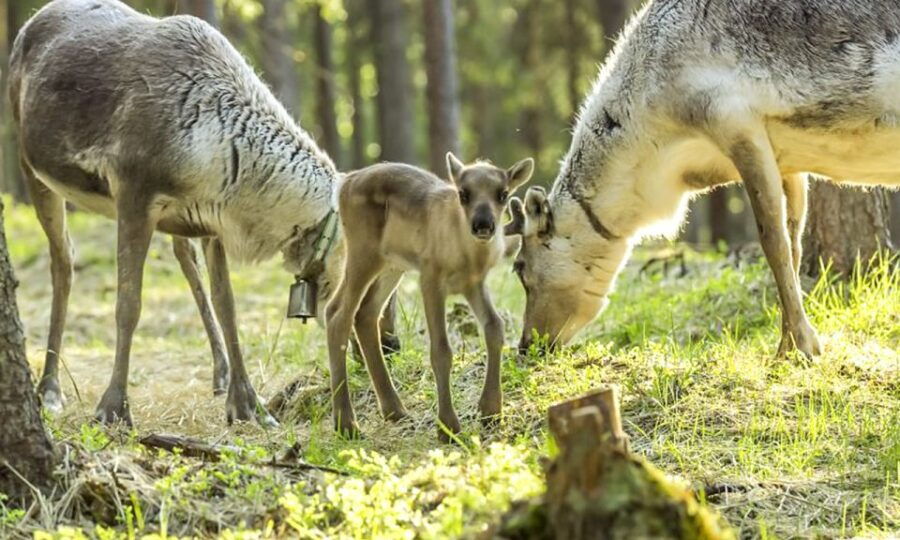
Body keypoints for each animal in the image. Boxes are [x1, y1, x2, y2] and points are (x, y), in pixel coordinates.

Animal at [8, 0, 396, 427]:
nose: (392, 345)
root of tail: (32, 21)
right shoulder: (134, 194)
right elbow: (129, 304)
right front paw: (113, 408)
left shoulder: (213, 218)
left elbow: (227, 304)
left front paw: (248, 403)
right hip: (32, 165)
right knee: (63, 260)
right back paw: (49, 389)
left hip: (177, 220)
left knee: (184, 259)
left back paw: (220, 373)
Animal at [325, 153, 534, 441]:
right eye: (463, 193)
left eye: (503, 194)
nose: (483, 225)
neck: (466, 254)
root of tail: (344, 182)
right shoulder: (431, 278)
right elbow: (441, 350)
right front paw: (447, 426)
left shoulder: (473, 283)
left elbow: (495, 327)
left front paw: (491, 411)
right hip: (363, 252)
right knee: (337, 313)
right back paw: (347, 424)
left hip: (392, 264)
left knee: (366, 314)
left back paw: (395, 411)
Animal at [507, 0, 900, 359]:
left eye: (520, 268)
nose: (526, 346)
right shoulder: (788, 160)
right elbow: (794, 243)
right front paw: (792, 338)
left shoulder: (736, 124)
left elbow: (772, 243)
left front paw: (799, 346)